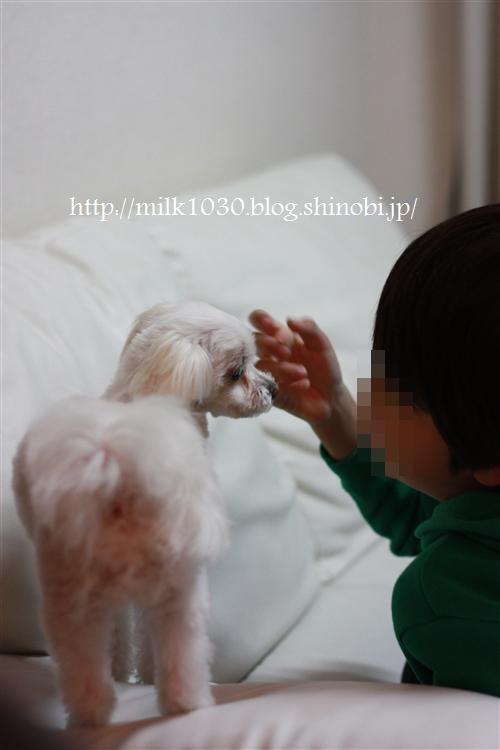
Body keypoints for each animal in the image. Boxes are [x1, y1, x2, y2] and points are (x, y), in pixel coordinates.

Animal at [12, 300, 277, 727]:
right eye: (238, 372)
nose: (274, 388)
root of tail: (115, 463)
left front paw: (122, 676)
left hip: (70, 591)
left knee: (81, 658)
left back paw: (91, 716)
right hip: (178, 588)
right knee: (179, 649)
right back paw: (188, 705)